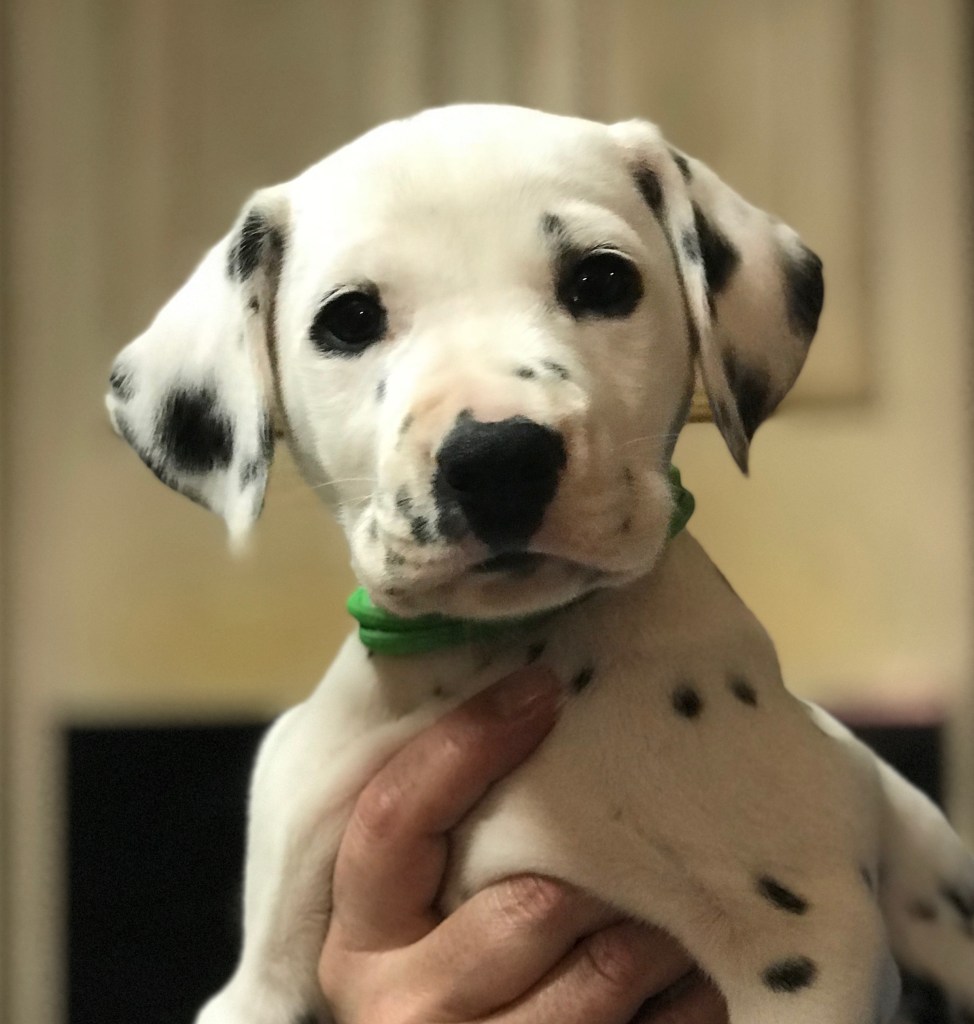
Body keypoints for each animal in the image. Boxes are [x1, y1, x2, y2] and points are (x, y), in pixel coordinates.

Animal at [106, 105, 974, 1023]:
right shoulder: (261, 982)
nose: (497, 460)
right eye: (349, 319)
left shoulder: (807, 947)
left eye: (601, 280)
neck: (503, 647)